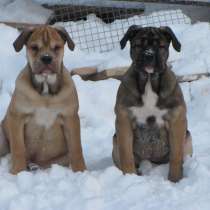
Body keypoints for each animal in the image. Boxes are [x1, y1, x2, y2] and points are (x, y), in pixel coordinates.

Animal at [0, 25, 86, 174]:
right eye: (34, 47)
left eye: (56, 47)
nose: (46, 58)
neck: (45, 90)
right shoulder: (17, 117)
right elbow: (18, 148)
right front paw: (18, 172)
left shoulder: (70, 118)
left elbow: (76, 148)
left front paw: (81, 171)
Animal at [112, 25, 193, 182]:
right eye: (138, 45)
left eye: (160, 46)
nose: (149, 55)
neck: (149, 81)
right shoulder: (124, 121)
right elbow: (126, 155)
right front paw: (129, 177)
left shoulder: (176, 121)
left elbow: (176, 156)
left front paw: (175, 179)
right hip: (115, 142)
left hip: (188, 138)